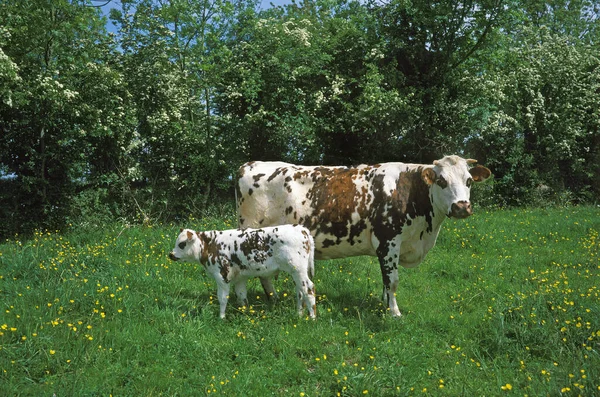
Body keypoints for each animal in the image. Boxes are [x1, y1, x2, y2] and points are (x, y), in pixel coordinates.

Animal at [169, 223, 316, 318]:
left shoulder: (222, 276)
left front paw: (221, 318)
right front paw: (244, 315)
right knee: (300, 291)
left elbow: (222, 298)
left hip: (299, 270)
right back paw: (299, 314)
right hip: (296, 272)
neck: (210, 245)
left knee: (309, 289)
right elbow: (242, 297)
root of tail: (301, 228)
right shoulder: (239, 278)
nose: (170, 254)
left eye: (181, 244)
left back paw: (312, 317)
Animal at [236, 154, 492, 316]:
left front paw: (384, 305)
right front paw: (394, 313)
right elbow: (393, 280)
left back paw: (274, 299)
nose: (462, 207)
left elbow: (386, 282)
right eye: (441, 180)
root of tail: (249, 164)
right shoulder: (388, 241)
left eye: (469, 181)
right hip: (251, 236)